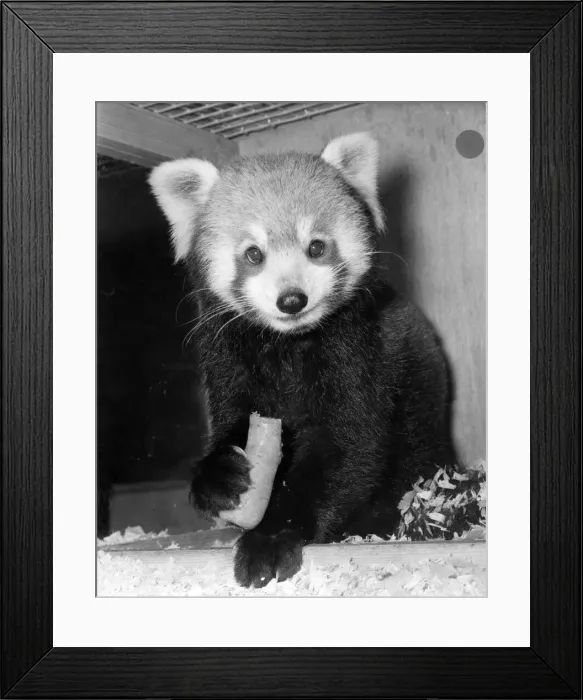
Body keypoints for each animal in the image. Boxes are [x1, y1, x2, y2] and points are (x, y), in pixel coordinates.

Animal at [149, 133, 456, 587]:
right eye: (253, 254)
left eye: (316, 247)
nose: (292, 299)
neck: (288, 345)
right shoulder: (226, 357)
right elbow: (233, 423)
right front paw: (219, 478)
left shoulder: (356, 355)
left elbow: (349, 446)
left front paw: (273, 538)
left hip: (421, 410)